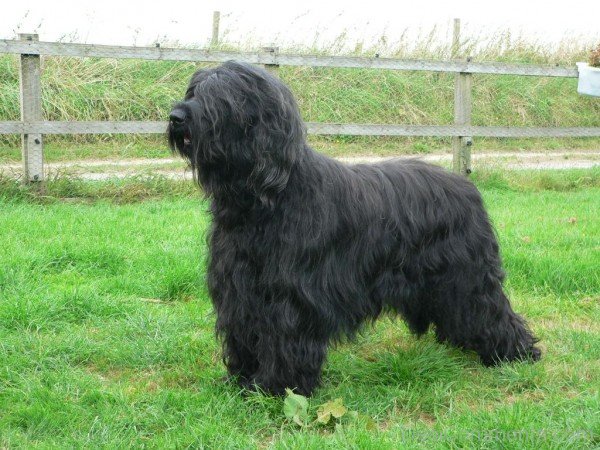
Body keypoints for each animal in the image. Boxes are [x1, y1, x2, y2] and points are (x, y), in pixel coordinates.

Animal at [166, 61, 540, 396]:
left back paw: (517, 353)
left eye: (221, 96)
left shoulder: (291, 295)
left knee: (490, 311)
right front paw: (241, 381)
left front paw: (277, 387)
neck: (265, 199)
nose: (176, 116)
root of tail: (465, 185)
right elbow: (243, 333)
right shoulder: (238, 290)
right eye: (193, 91)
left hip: (466, 276)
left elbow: (284, 335)